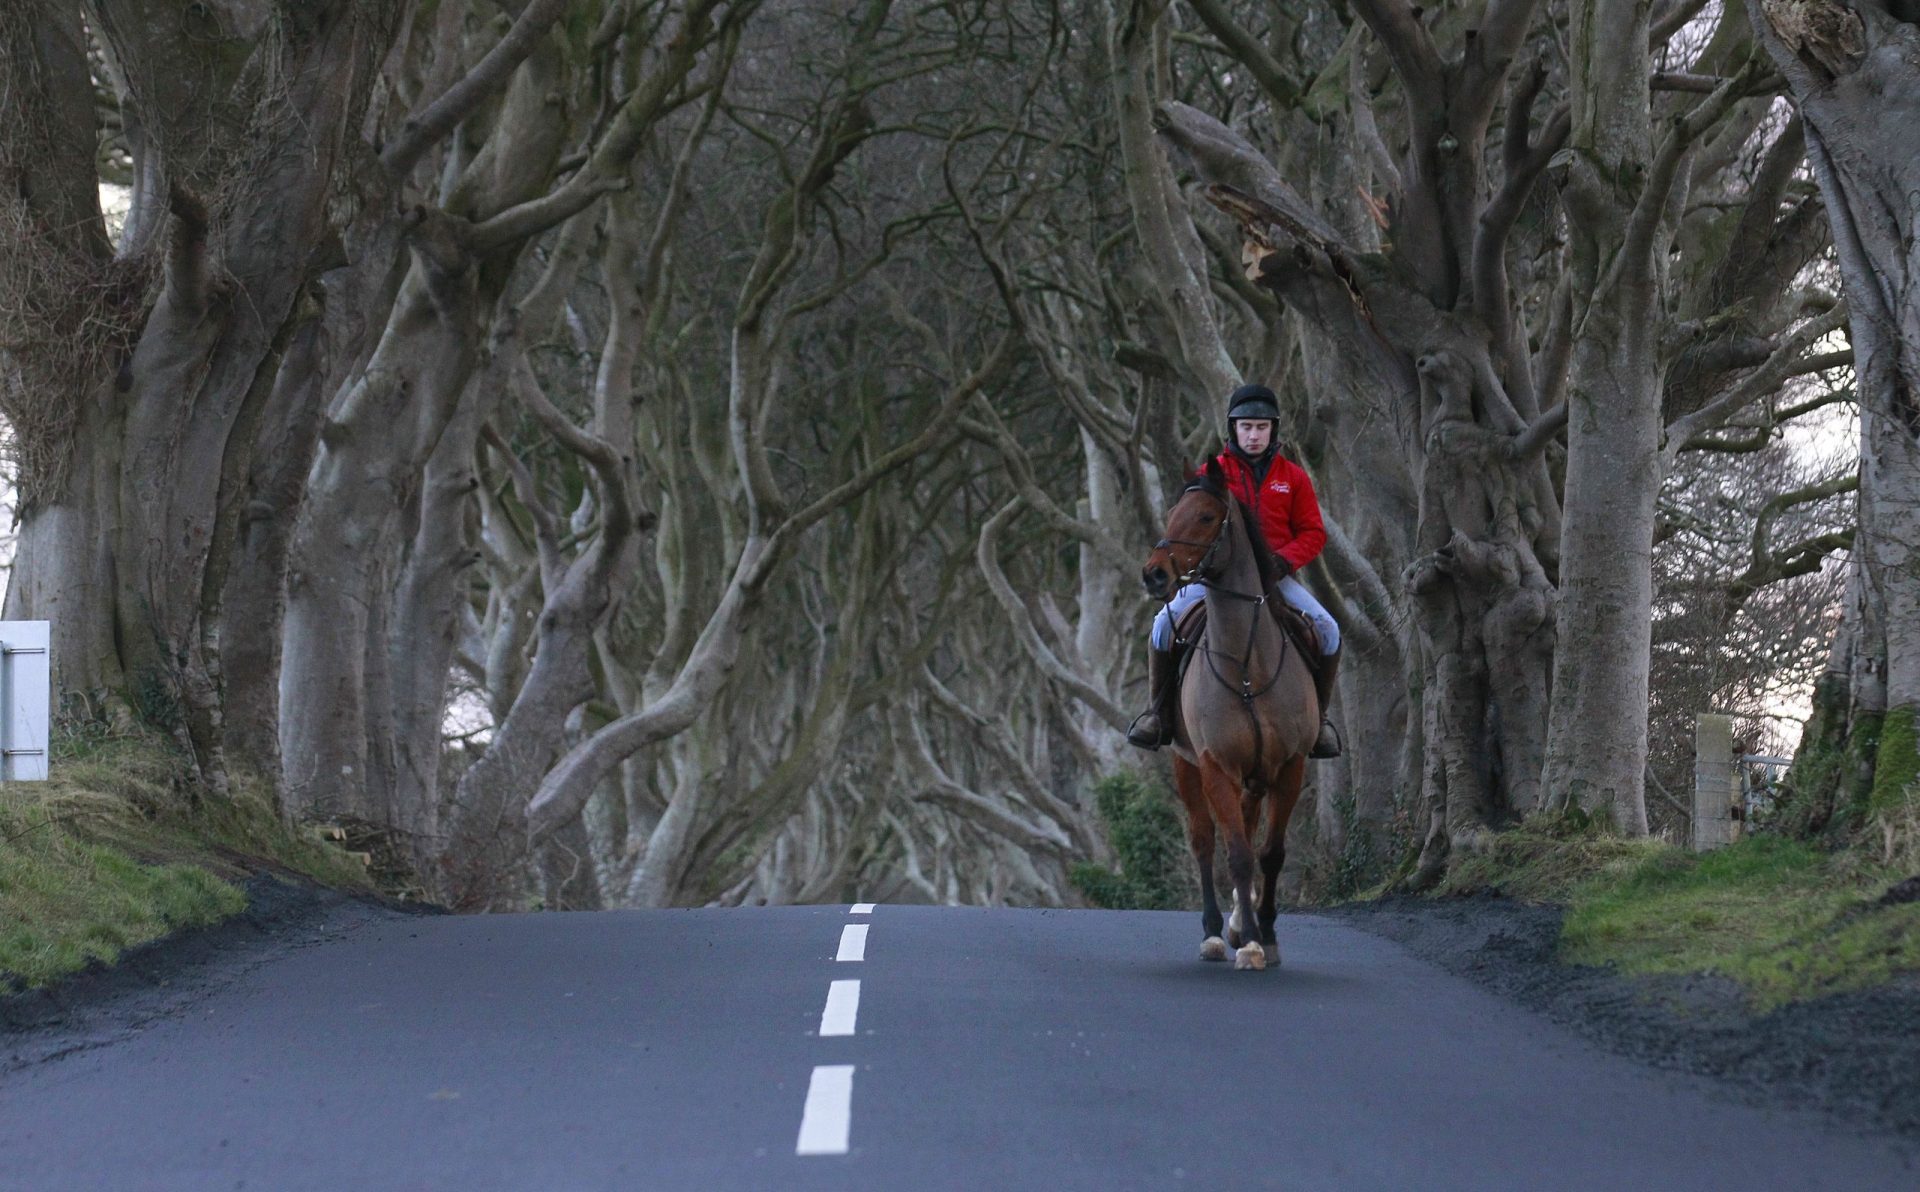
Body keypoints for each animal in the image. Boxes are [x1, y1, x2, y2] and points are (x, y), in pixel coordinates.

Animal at [1136, 454, 1320, 967]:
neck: (1247, 667)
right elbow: (1235, 852)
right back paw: (1217, 933)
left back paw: (1239, 922)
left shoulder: (1290, 765)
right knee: (1203, 841)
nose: (1154, 575)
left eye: (1204, 516)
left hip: (1255, 775)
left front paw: (1266, 935)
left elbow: (1270, 852)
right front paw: (1252, 941)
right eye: (1172, 513)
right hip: (1186, 764)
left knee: (1249, 825)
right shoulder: (1216, 765)